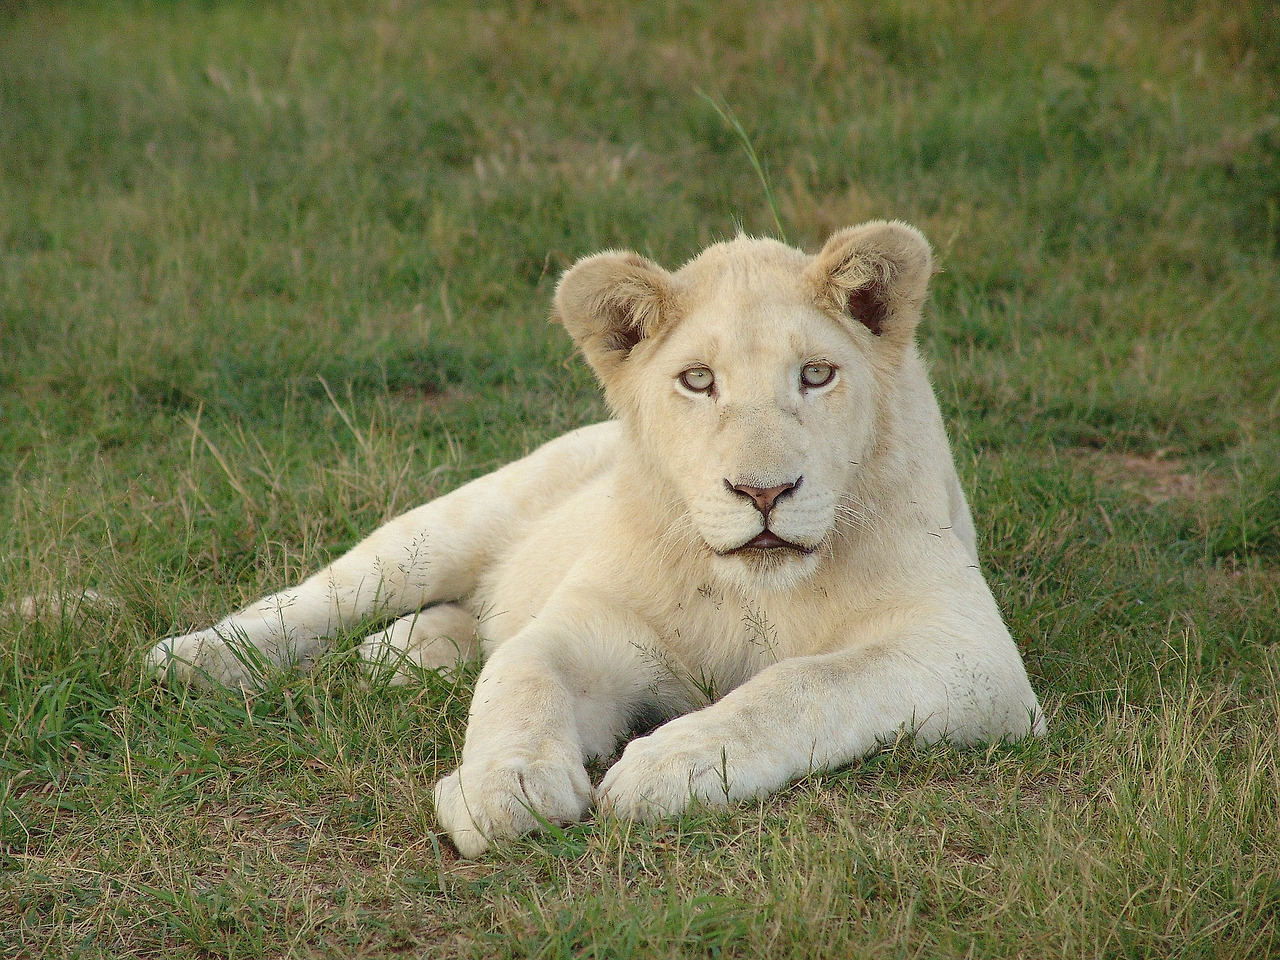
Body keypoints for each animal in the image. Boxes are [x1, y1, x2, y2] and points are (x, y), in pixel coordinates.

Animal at [148, 220, 1046, 857]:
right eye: (698, 380)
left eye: (817, 375)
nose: (763, 492)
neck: (755, 591)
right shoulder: (591, 626)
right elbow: (520, 678)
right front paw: (503, 788)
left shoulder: (970, 651)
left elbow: (804, 684)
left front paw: (670, 765)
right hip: (457, 520)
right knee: (334, 594)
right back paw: (193, 660)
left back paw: (403, 654)